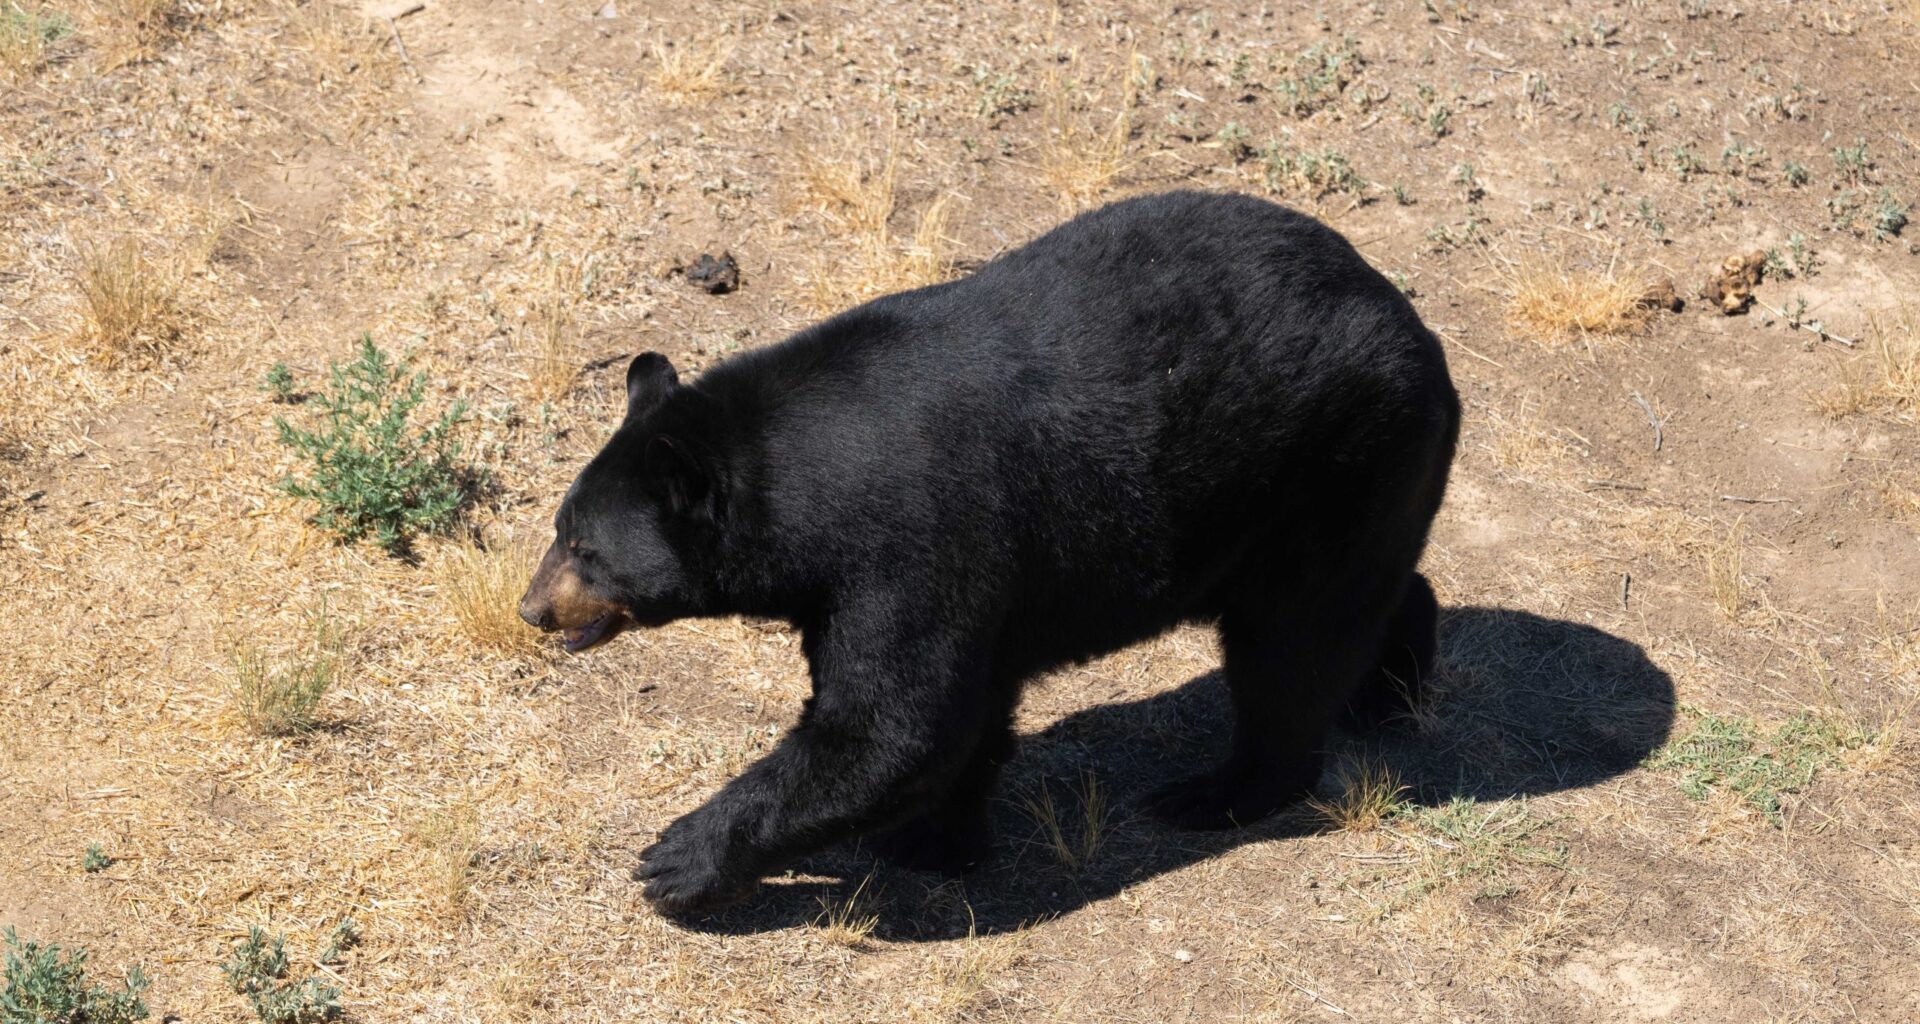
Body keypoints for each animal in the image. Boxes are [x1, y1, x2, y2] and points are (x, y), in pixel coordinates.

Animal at [517, 190, 1460, 915]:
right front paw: (938, 839)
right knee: (1360, 600)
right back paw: (1390, 688)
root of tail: (1412, 321)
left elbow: (894, 722)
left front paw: (675, 857)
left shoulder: (914, 545)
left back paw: (1216, 791)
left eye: (585, 548)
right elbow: (957, 718)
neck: (809, 482)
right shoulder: (915, 585)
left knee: (1291, 644)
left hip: (1336, 454)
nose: (533, 609)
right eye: (560, 529)